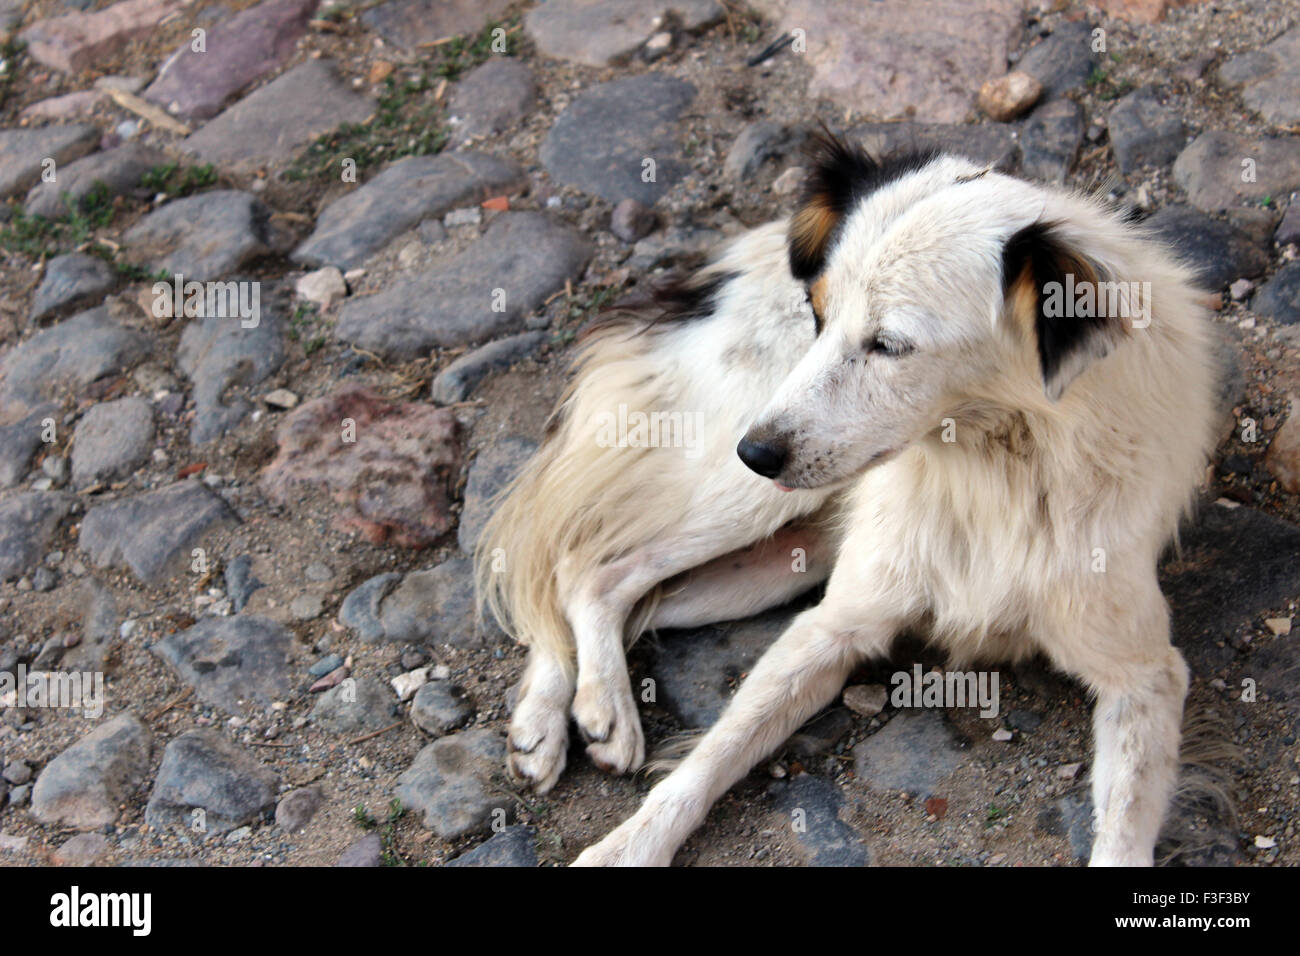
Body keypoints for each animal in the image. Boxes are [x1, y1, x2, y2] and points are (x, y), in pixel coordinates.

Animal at [475, 134, 1216, 868]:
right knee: (577, 564)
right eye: (817, 314)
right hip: (745, 501)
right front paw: (628, 848)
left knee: (615, 587)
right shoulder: (832, 625)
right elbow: (708, 760)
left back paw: (570, 714)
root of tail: (716, 268)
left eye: (890, 345)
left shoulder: (1146, 674)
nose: (756, 453)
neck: (993, 470)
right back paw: (572, 714)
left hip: (777, 560)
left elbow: (1123, 834)